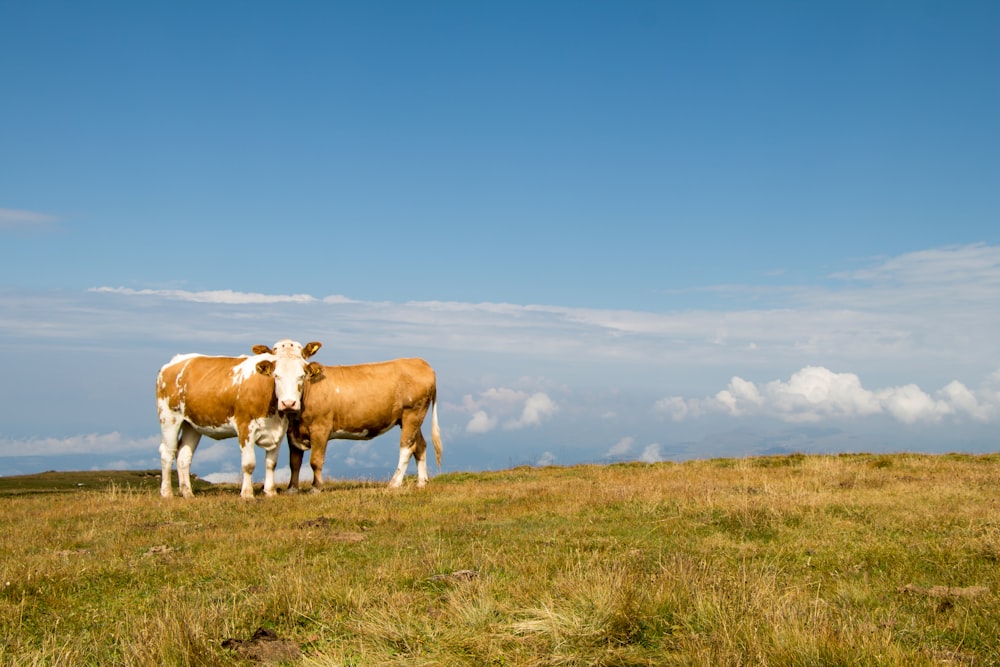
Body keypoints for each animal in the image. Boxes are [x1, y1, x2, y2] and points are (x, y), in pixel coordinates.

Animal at [155, 342, 324, 498]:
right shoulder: (245, 426)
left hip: (192, 424)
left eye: (301, 376)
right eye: (276, 376)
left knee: (184, 455)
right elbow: (248, 464)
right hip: (169, 417)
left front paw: (270, 492)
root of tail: (175, 361)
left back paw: (187, 493)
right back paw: (166, 493)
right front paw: (247, 494)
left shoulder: (279, 430)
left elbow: (271, 463)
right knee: (167, 453)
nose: (288, 403)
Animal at [290, 358, 446, 494]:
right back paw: (421, 483)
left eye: (301, 376)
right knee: (420, 445)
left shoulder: (320, 428)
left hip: (412, 412)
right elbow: (294, 462)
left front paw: (315, 489)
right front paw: (291, 490)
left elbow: (315, 460)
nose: (288, 402)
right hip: (410, 418)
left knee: (407, 447)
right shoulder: (292, 432)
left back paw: (394, 483)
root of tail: (420, 362)